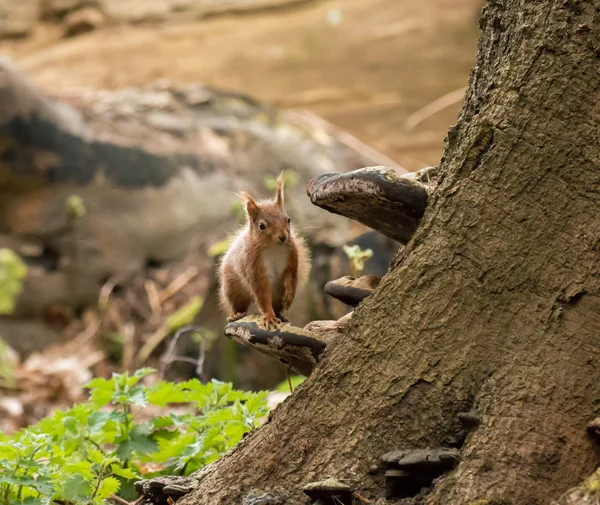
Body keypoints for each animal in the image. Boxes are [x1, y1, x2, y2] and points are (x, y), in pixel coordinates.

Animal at [219, 172, 312, 330]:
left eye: (288, 219)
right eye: (262, 225)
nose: (283, 236)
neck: (273, 247)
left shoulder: (291, 254)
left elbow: (291, 275)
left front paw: (289, 296)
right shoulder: (252, 264)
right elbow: (261, 293)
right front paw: (268, 317)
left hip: (277, 294)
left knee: (277, 306)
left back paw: (281, 315)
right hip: (233, 287)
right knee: (239, 304)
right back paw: (236, 314)